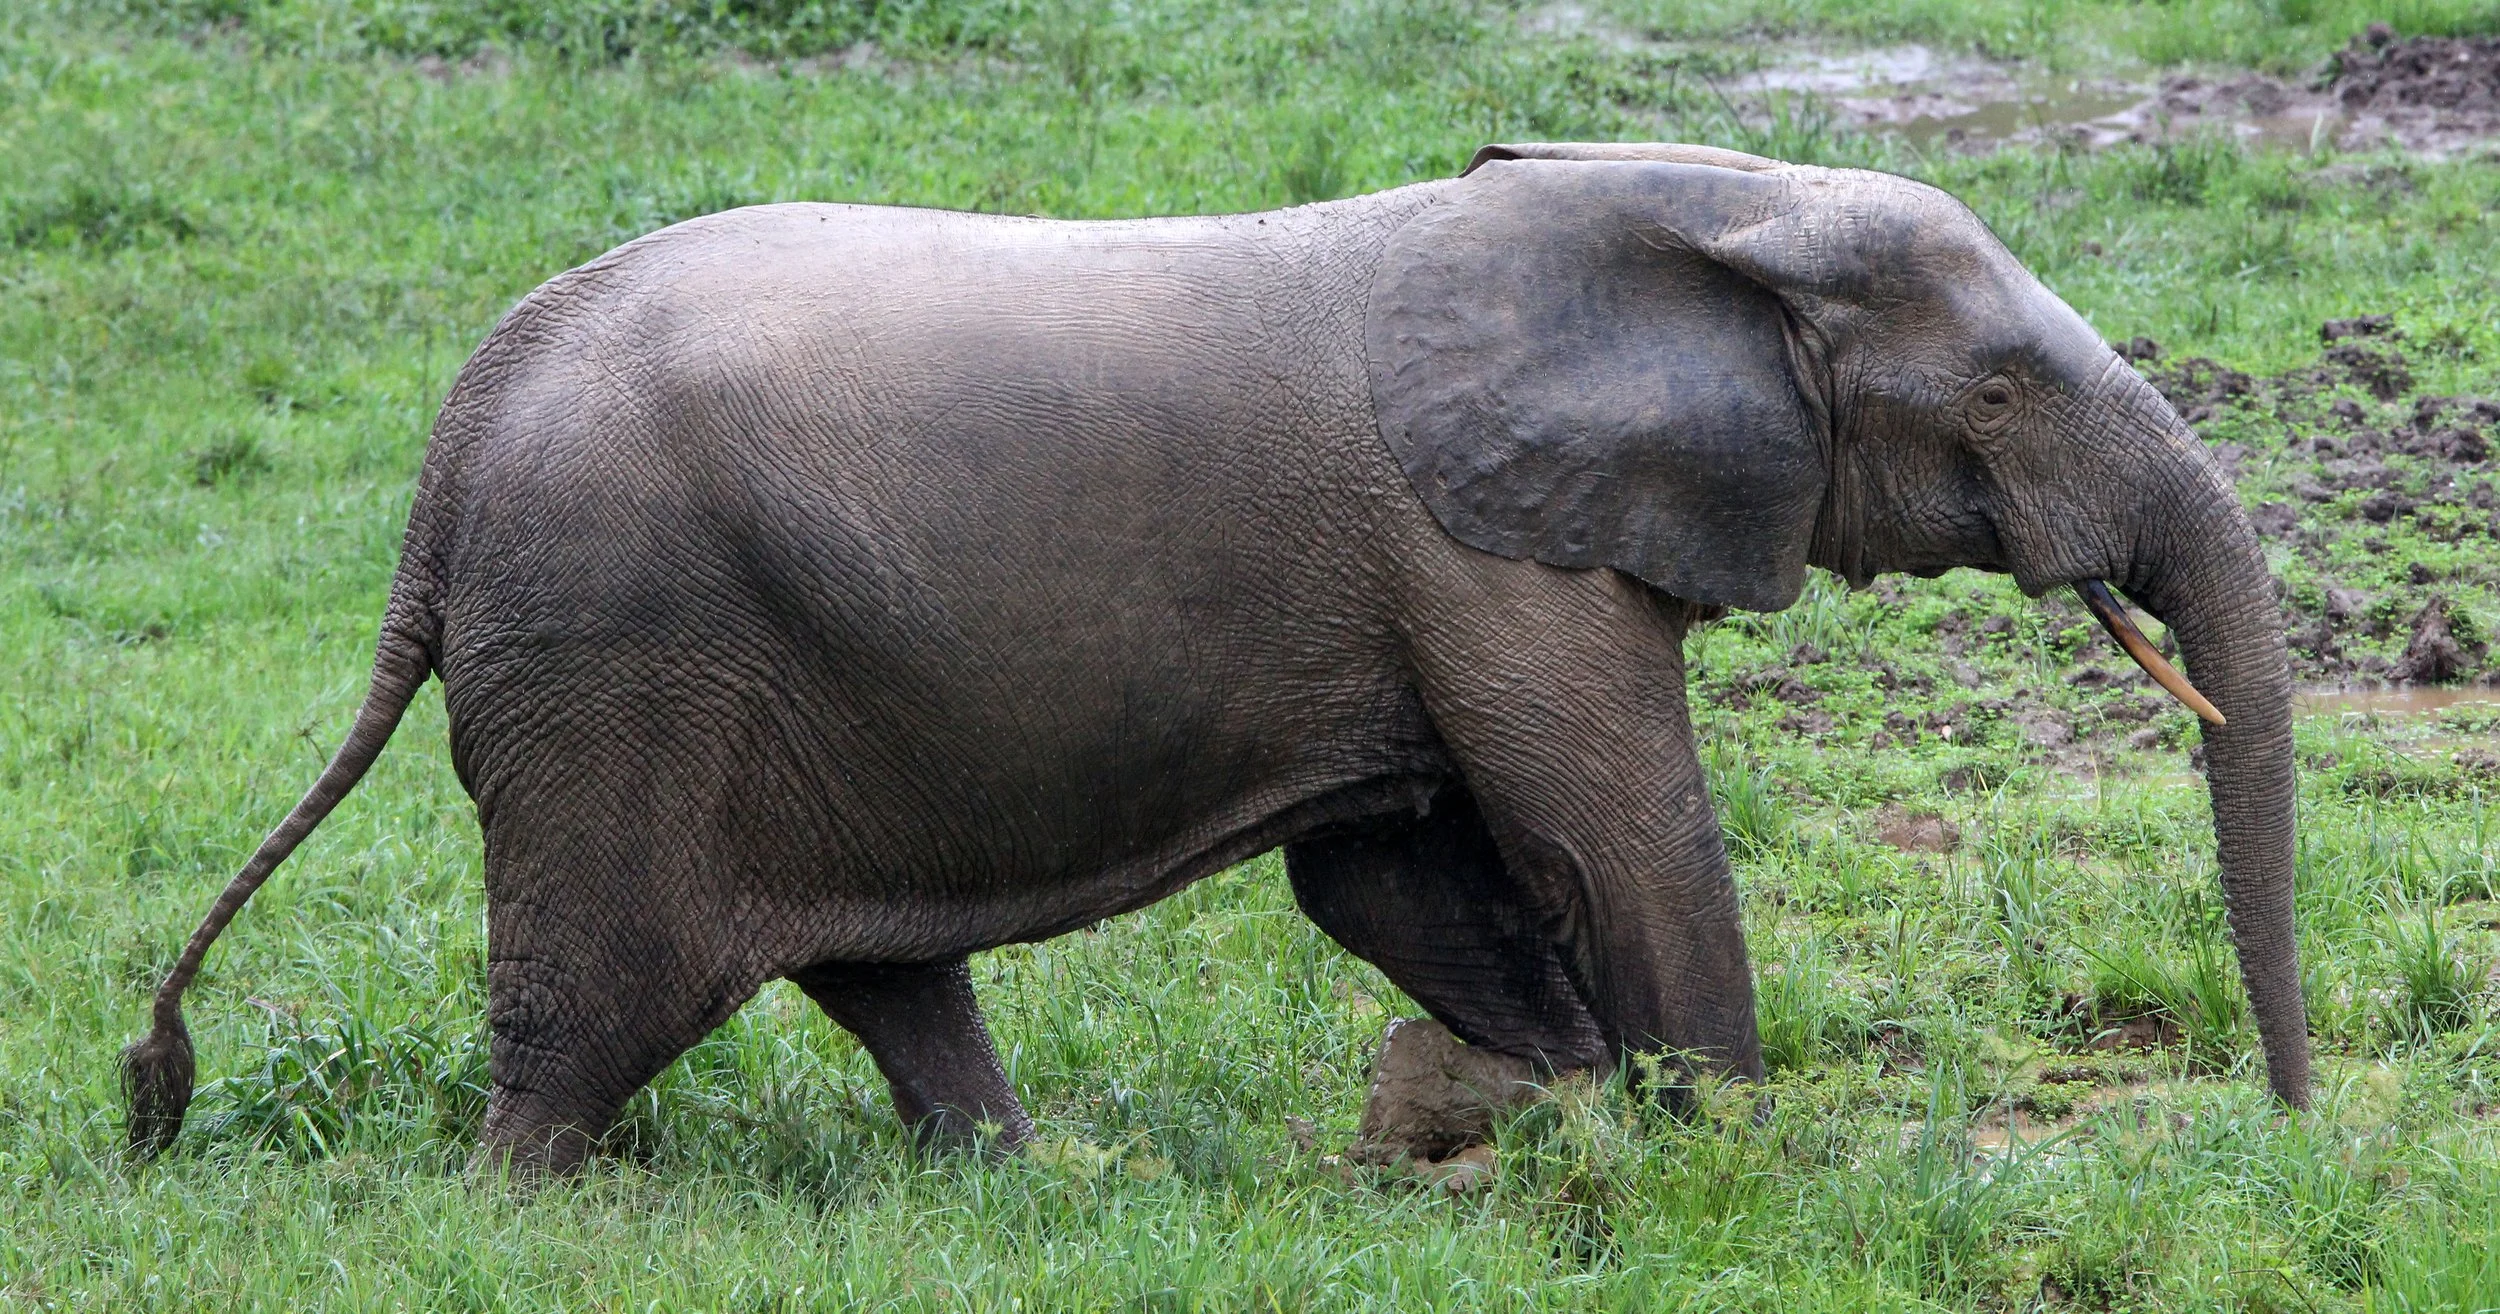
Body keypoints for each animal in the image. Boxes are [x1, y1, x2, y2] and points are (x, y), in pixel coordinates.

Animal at [125, 140, 2306, 1174]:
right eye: (2003, 388)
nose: (2287, 1127)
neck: (1700, 198)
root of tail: (455, 435)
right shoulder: (1481, 549)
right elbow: (1609, 825)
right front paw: (1731, 1156)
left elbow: (1390, 865)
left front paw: (1542, 1119)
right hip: (615, 660)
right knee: (599, 1005)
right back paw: (524, 1199)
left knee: (875, 966)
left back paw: (1034, 1183)